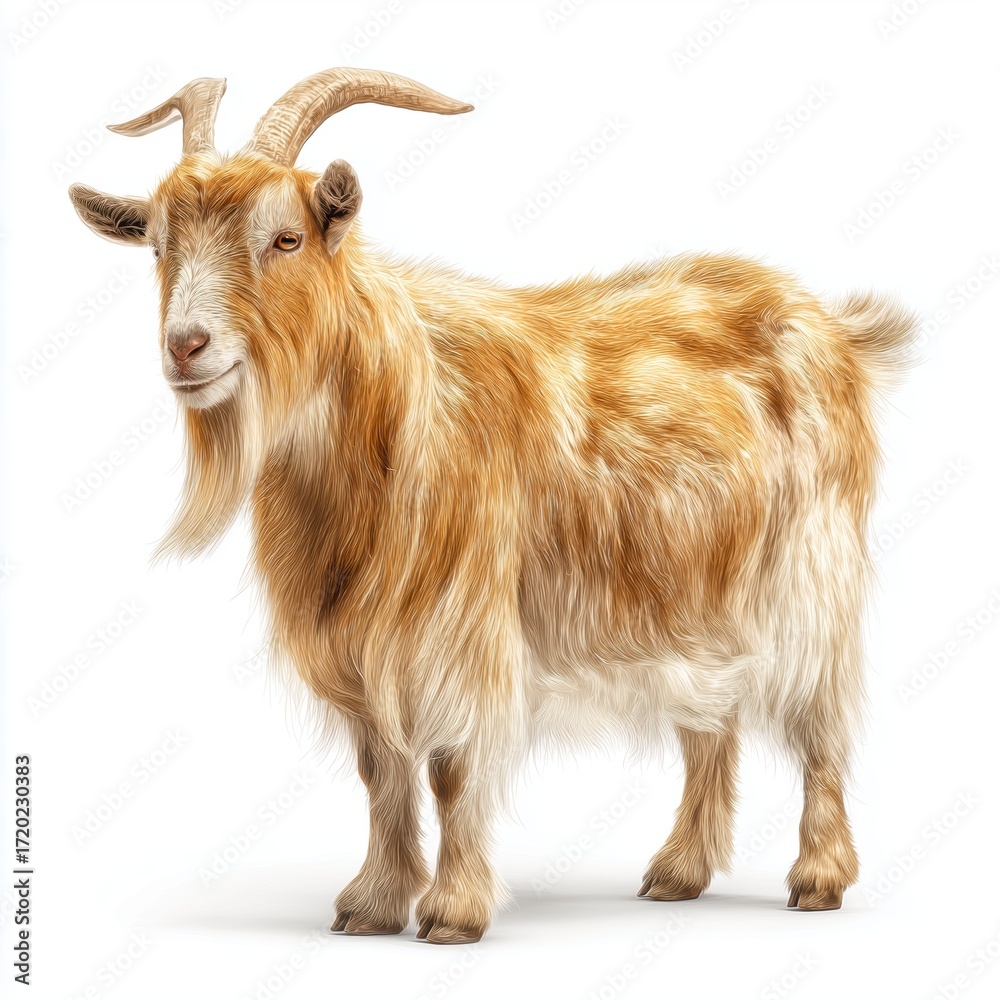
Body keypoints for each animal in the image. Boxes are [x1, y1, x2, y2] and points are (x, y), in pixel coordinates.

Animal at [69, 68, 916, 944]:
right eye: (158, 246)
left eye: (286, 238)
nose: (185, 345)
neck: (393, 410)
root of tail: (833, 327)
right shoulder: (360, 645)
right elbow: (381, 770)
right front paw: (372, 903)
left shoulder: (463, 628)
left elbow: (450, 768)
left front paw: (453, 911)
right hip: (692, 594)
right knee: (708, 724)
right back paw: (680, 872)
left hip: (811, 570)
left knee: (820, 720)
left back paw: (818, 877)